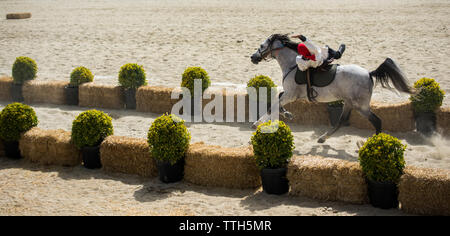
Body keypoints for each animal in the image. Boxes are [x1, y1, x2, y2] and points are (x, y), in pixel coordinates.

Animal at [251, 34, 414, 143]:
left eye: (261, 46)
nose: (253, 57)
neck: (293, 65)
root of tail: (369, 73)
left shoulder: (291, 95)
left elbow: (273, 106)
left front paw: (257, 123)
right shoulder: (289, 94)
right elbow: (277, 99)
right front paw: (287, 114)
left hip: (360, 106)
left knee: (377, 121)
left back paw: (375, 141)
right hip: (348, 103)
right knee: (341, 121)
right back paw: (323, 138)